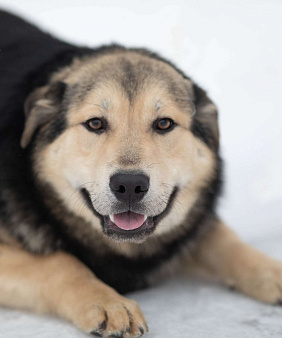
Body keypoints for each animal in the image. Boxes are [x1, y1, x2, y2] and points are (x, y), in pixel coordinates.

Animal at [0, 9, 282, 336]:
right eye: (95, 123)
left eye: (164, 124)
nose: (129, 185)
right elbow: (59, 263)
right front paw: (108, 302)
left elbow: (224, 240)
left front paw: (272, 270)